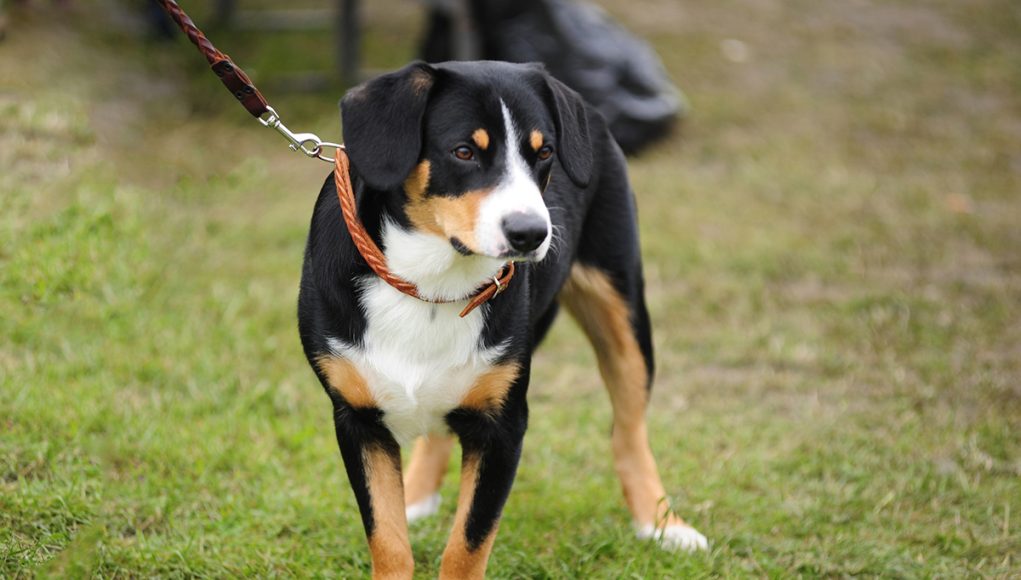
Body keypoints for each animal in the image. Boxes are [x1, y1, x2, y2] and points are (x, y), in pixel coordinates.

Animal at [298, 61, 706, 575]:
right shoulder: (357, 420)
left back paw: (662, 524)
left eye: (544, 152)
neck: (430, 287)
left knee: (629, 431)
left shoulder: (503, 426)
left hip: (623, 309)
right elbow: (388, 540)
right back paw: (416, 496)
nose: (531, 232)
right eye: (464, 151)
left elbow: (467, 544)